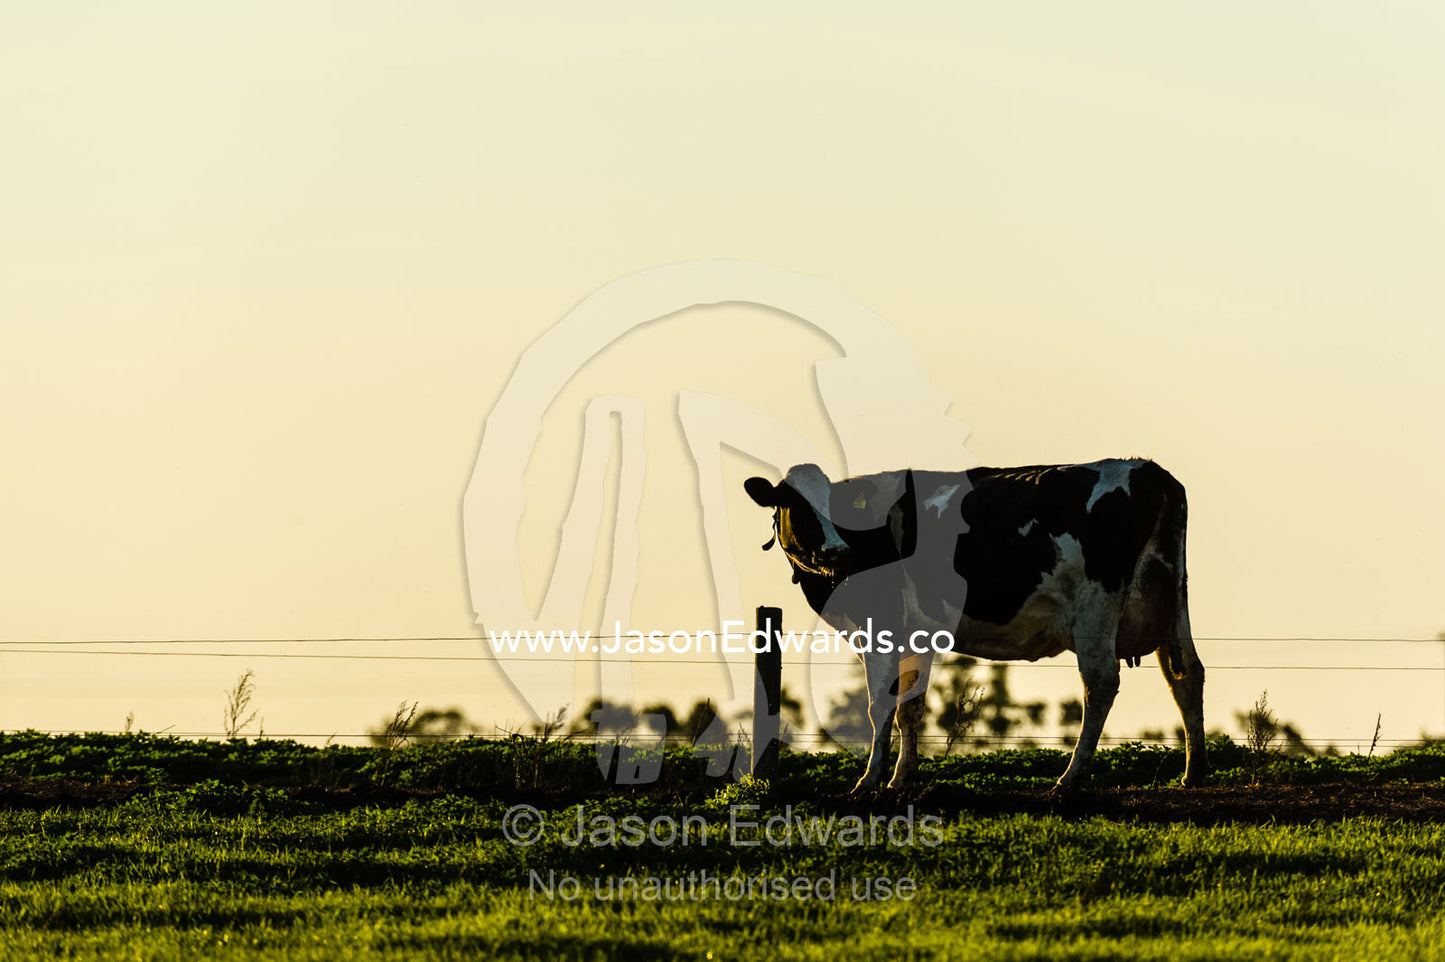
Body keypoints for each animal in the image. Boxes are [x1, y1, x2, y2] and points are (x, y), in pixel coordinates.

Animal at [744, 458, 1206, 794]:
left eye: (836, 509)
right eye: (799, 507)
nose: (838, 552)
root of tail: (1146, 468)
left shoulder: (879, 628)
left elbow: (881, 707)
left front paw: (869, 781)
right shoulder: (917, 636)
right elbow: (910, 708)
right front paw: (901, 779)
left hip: (1096, 608)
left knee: (1101, 683)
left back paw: (1070, 778)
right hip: (1172, 598)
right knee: (1186, 674)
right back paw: (1194, 772)